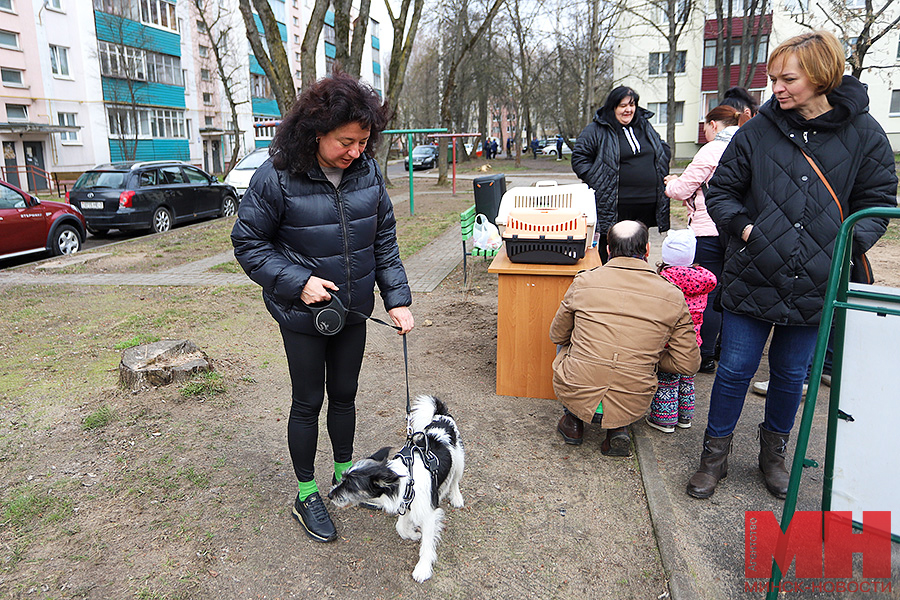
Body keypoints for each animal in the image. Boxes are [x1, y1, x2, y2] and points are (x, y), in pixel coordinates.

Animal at [326, 394, 464, 580]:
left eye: (351, 485)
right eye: (343, 479)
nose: (330, 495)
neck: (406, 481)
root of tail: (441, 416)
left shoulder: (429, 513)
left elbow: (427, 543)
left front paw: (423, 568)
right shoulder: (405, 503)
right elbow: (400, 527)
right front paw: (413, 533)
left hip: (459, 460)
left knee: (455, 480)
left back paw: (456, 497)